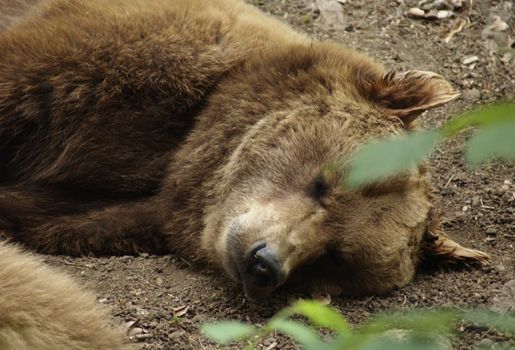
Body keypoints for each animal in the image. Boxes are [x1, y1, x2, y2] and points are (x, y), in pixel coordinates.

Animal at [1, 0, 492, 300]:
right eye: (323, 183)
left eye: (335, 256)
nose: (264, 263)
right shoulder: (113, 59)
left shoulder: (119, 207)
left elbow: (38, 214)